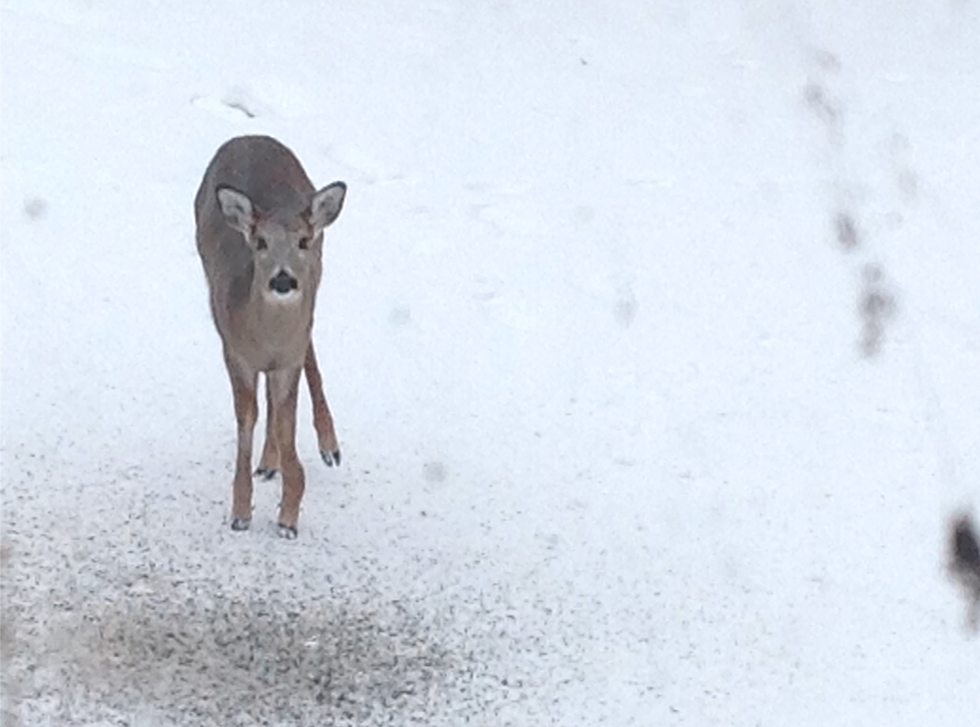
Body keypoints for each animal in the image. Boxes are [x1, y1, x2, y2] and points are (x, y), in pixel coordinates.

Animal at [193, 135, 346, 540]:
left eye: (303, 241)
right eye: (259, 241)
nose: (283, 280)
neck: (265, 338)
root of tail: (250, 137)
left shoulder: (287, 358)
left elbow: (285, 420)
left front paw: (288, 517)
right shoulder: (234, 350)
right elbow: (249, 416)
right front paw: (241, 512)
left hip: (315, 285)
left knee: (309, 354)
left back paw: (329, 448)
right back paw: (268, 463)